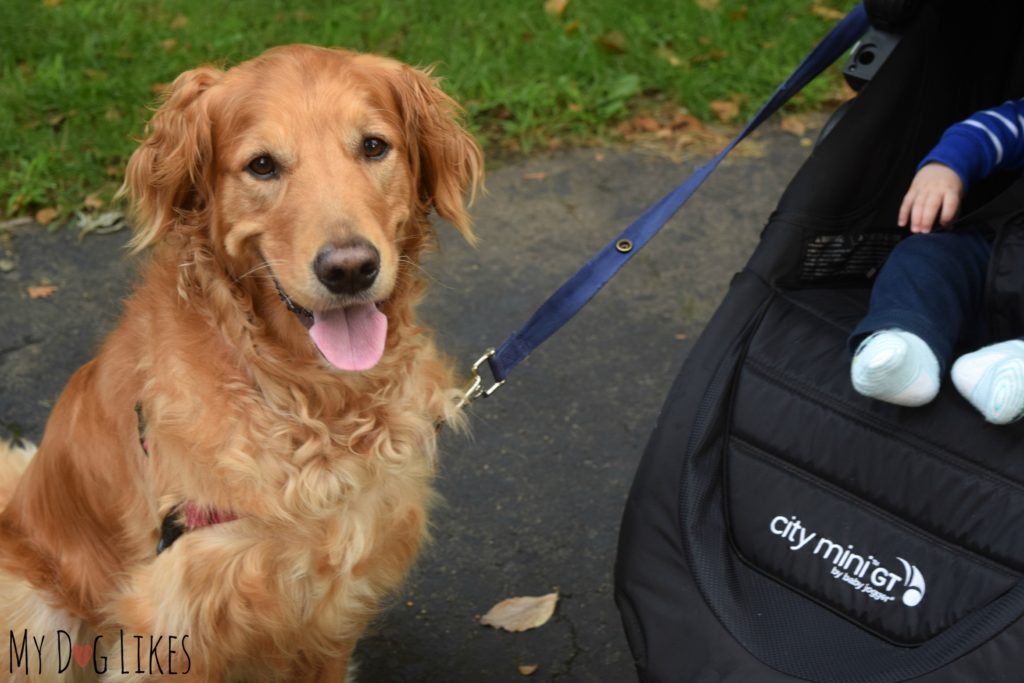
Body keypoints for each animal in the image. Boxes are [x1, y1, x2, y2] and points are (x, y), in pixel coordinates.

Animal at [0, 45, 479, 679]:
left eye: (374, 146)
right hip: (33, 613)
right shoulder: (171, 620)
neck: (315, 405)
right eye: (262, 165)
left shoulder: (331, 617)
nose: (350, 269)